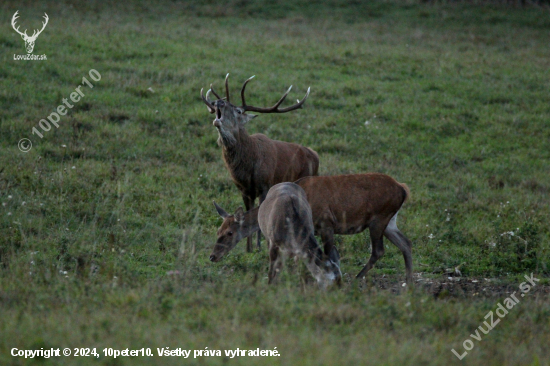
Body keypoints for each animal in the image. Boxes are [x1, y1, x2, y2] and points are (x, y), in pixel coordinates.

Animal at [203, 74, 320, 252]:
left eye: (238, 111)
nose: (219, 102)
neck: (247, 168)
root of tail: (315, 156)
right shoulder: (243, 190)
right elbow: (246, 214)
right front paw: (249, 248)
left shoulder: (265, 185)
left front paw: (259, 247)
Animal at [211, 174, 414, 284]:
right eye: (218, 231)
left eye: (229, 233)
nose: (213, 256)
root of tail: (403, 189)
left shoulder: (326, 224)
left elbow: (328, 256)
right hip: (390, 221)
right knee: (406, 243)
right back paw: (409, 282)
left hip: (379, 219)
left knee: (378, 250)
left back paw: (357, 278)